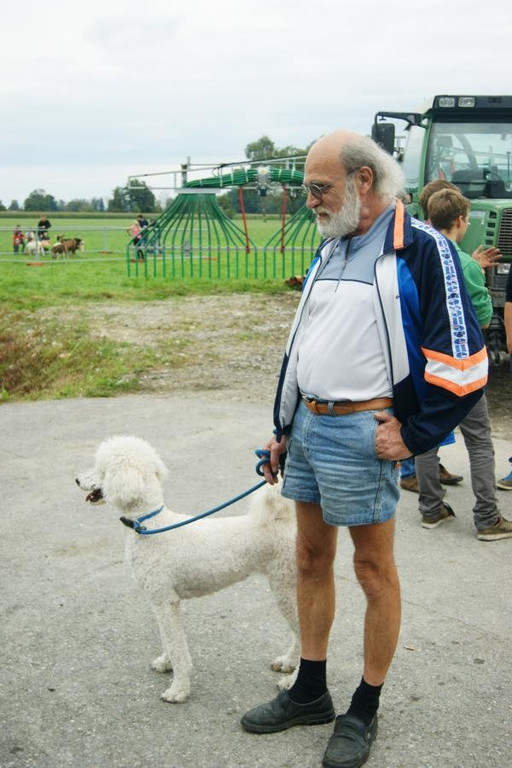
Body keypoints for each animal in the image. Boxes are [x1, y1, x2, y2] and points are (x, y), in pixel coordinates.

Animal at [76, 436, 299, 703]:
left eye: (102, 470)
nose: (77, 480)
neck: (149, 524)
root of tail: (285, 522)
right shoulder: (160, 602)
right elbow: (168, 639)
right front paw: (166, 663)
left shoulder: (165, 601)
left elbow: (176, 645)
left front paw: (179, 688)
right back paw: (287, 663)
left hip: (286, 587)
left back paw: (292, 681)